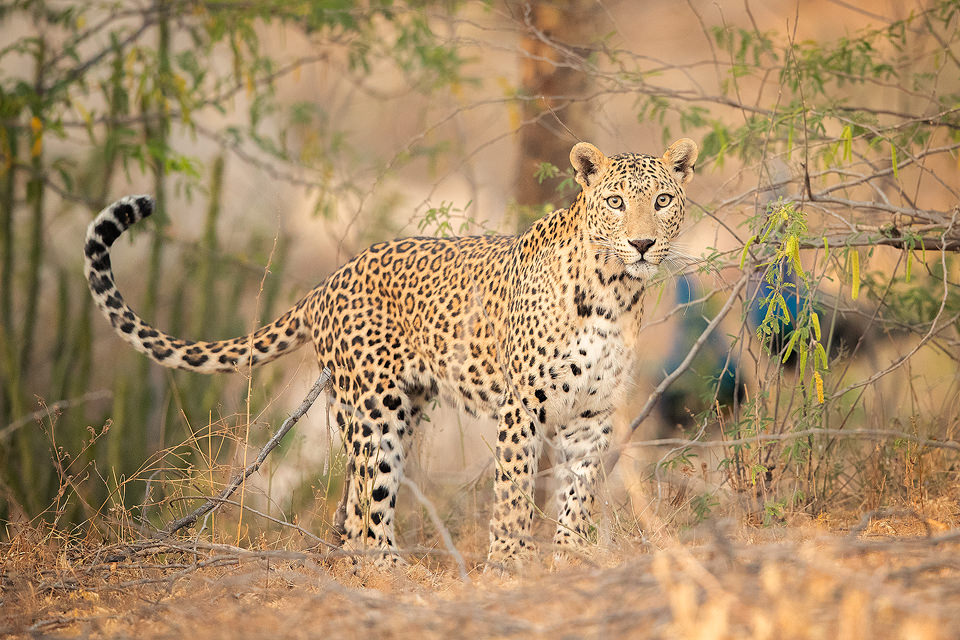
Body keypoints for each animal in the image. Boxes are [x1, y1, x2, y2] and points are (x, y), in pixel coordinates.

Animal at [82, 138, 696, 568]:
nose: (642, 243)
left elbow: (579, 492)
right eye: (615, 202)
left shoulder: (593, 414)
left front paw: (569, 558)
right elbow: (515, 490)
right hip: (377, 411)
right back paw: (393, 574)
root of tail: (328, 282)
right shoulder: (522, 407)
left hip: (397, 405)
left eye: (662, 200)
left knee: (353, 511)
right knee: (370, 510)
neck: (614, 294)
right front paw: (510, 566)